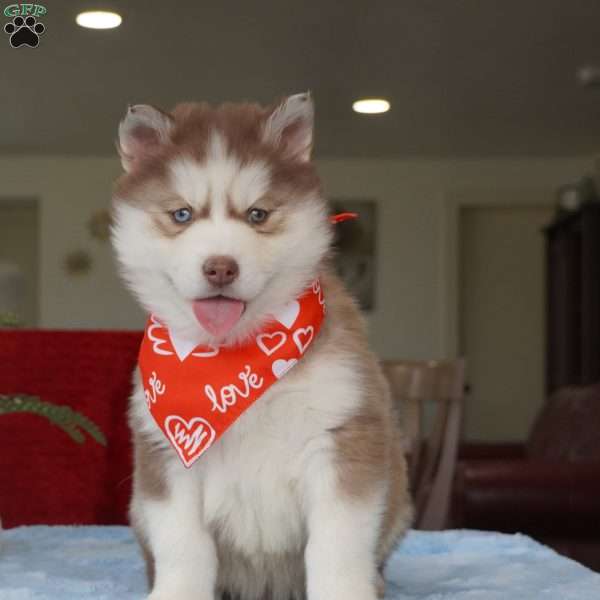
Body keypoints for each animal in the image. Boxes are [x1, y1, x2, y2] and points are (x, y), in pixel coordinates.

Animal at [111, 94, 412, 600]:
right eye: (181, 215)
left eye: (258, 214)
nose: (220, 268)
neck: (234, 357)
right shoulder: (166, 453)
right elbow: (183, 546)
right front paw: (177, 591)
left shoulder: (343, 435)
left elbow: (337, 546)